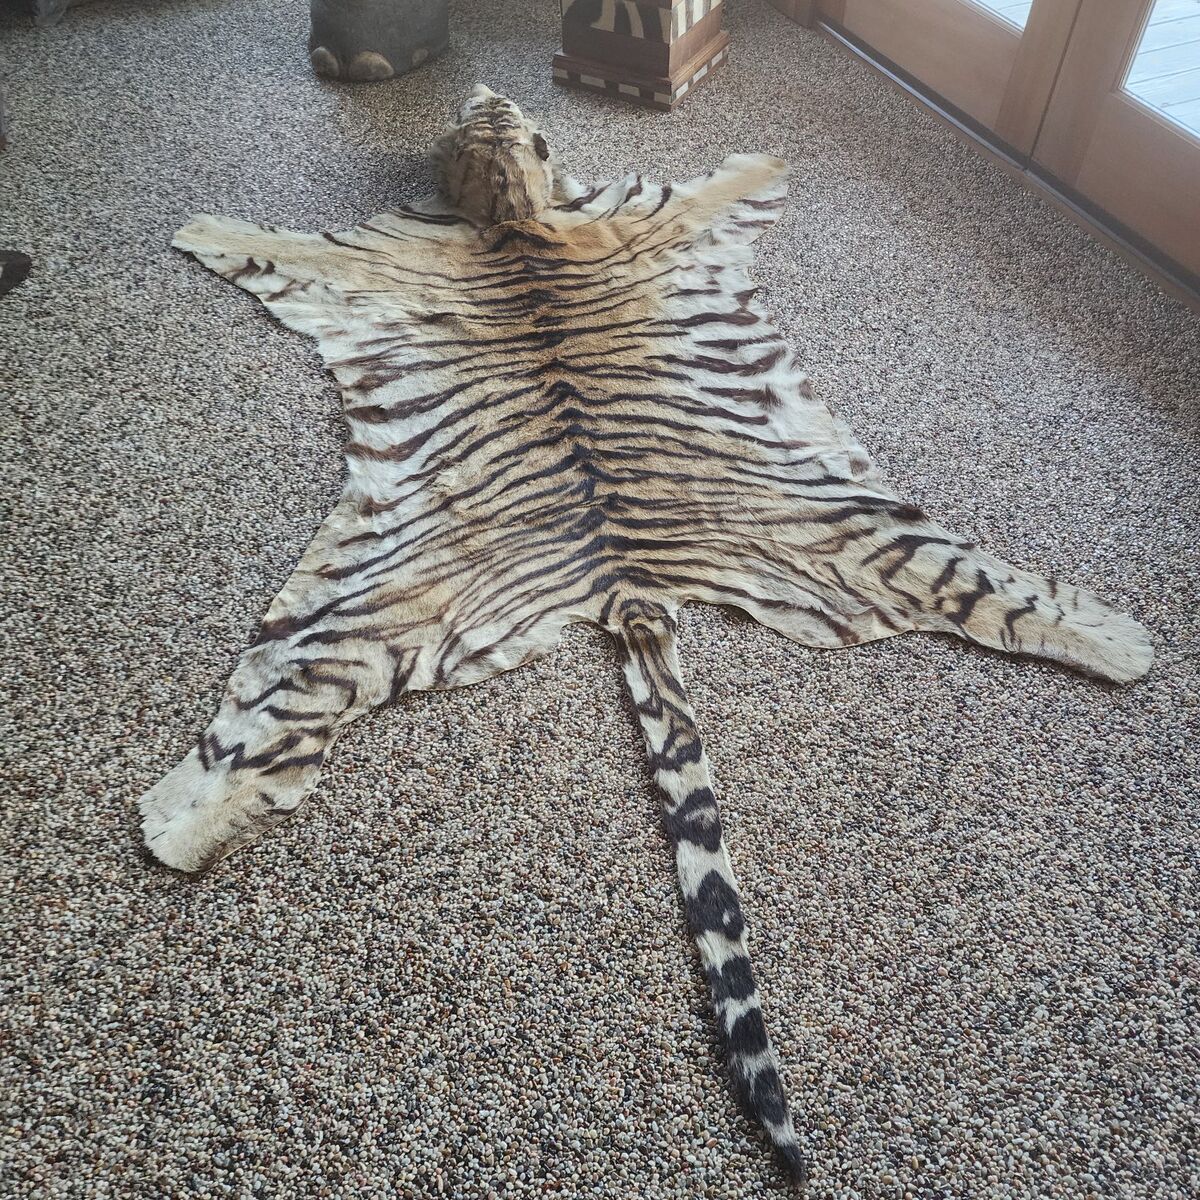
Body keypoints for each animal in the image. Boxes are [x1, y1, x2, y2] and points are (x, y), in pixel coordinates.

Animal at [140, 84, 1153, 1184]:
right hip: (370, 603)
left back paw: (1122, 641)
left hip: (807, 529)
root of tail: (627, 582)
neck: (509, 210)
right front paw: (202, 226)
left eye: (493, 112)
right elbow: (269, 239)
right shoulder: (384, 252)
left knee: (992, 597)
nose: (485, 92)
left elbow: (717, 184)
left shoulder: (545, 226)